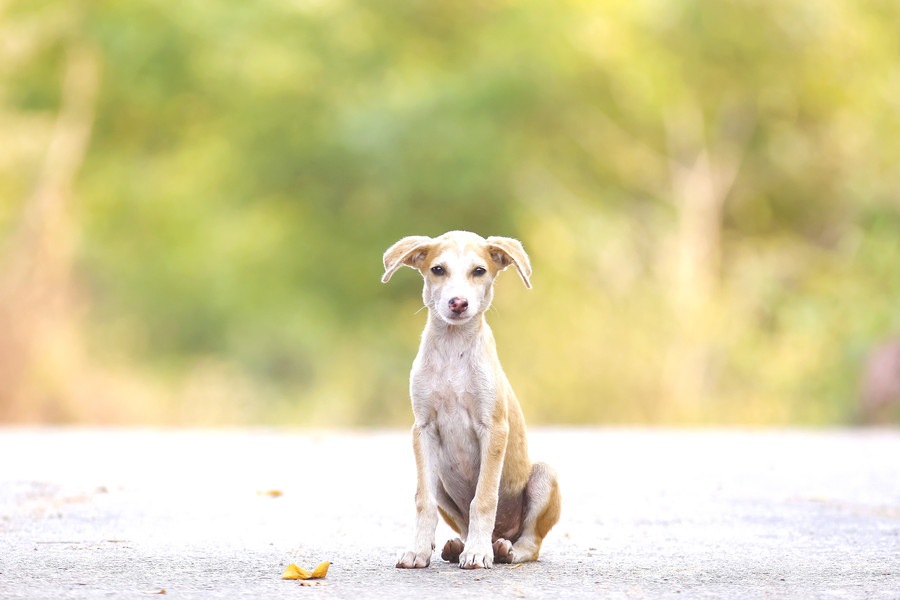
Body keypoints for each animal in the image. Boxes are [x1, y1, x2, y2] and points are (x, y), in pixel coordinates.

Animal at [382, 232, 564, 568]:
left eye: (479, 271)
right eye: (437, 269)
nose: (458, 303)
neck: (453, 349)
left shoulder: (493, 429)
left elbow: (484, 498)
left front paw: (478, 552)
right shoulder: (422, 429)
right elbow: (423, 500)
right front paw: (418, 549)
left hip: (544, 475)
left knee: (531, 542)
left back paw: (502, 549)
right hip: (442, 479)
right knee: (462, 524)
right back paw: (459, 547)